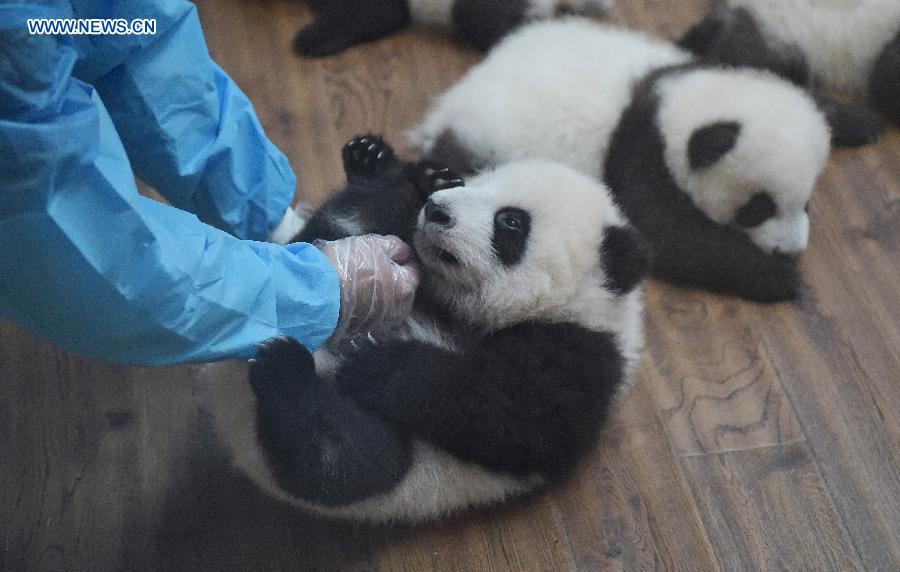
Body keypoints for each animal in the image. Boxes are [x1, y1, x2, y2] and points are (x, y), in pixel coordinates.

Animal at [211, 134, 648, 524]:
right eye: (475, 183)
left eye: (510, 222)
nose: (437, 210)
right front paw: (426, 177)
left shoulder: (578, 356)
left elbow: (508, 415)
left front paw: (377, 363)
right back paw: (383, 172)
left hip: (400, 473)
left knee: (346, 459)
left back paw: (283, 370)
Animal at [412, 20, 884, 302]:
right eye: (756, 210)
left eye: (807, 203)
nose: (792, 250)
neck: (677, 101)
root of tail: (450, 104)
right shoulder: (641, 151)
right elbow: (672, 236)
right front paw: (779, 278)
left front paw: (862, 121)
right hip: (489, 139)